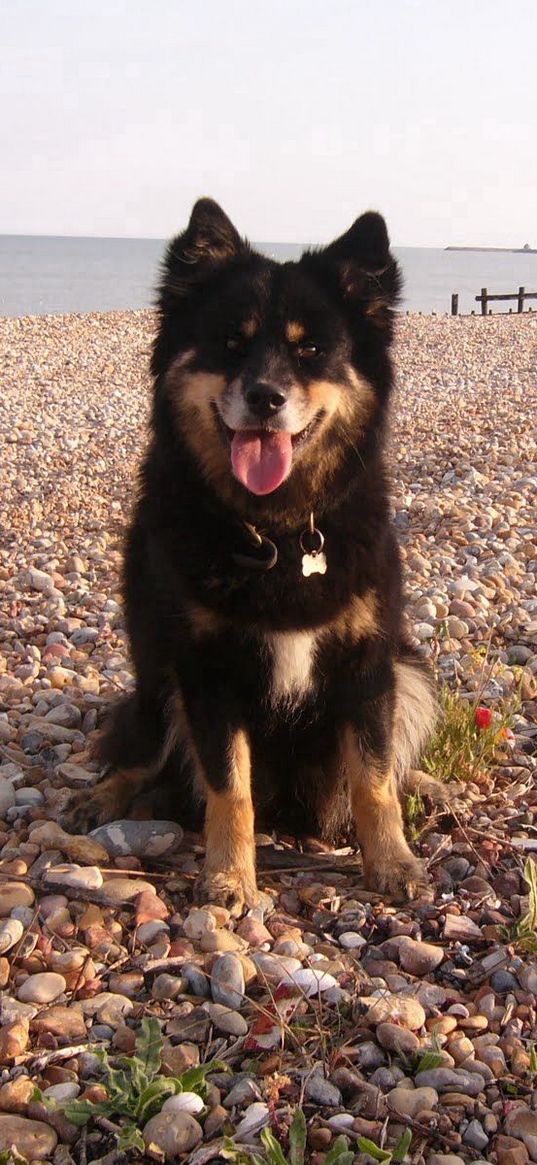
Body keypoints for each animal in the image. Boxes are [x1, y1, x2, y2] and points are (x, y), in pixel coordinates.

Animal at [61, 198, 442, 908]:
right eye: (231, 343)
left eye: (310, 349)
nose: (265, 396)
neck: (276, 531)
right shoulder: (205, 671)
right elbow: (229, 789)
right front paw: (230, 877)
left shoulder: (370, 664)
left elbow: (374, 779)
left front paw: (392, 861)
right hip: (157, 679)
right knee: (139, 750)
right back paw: (102, 796)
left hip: (413, 673)